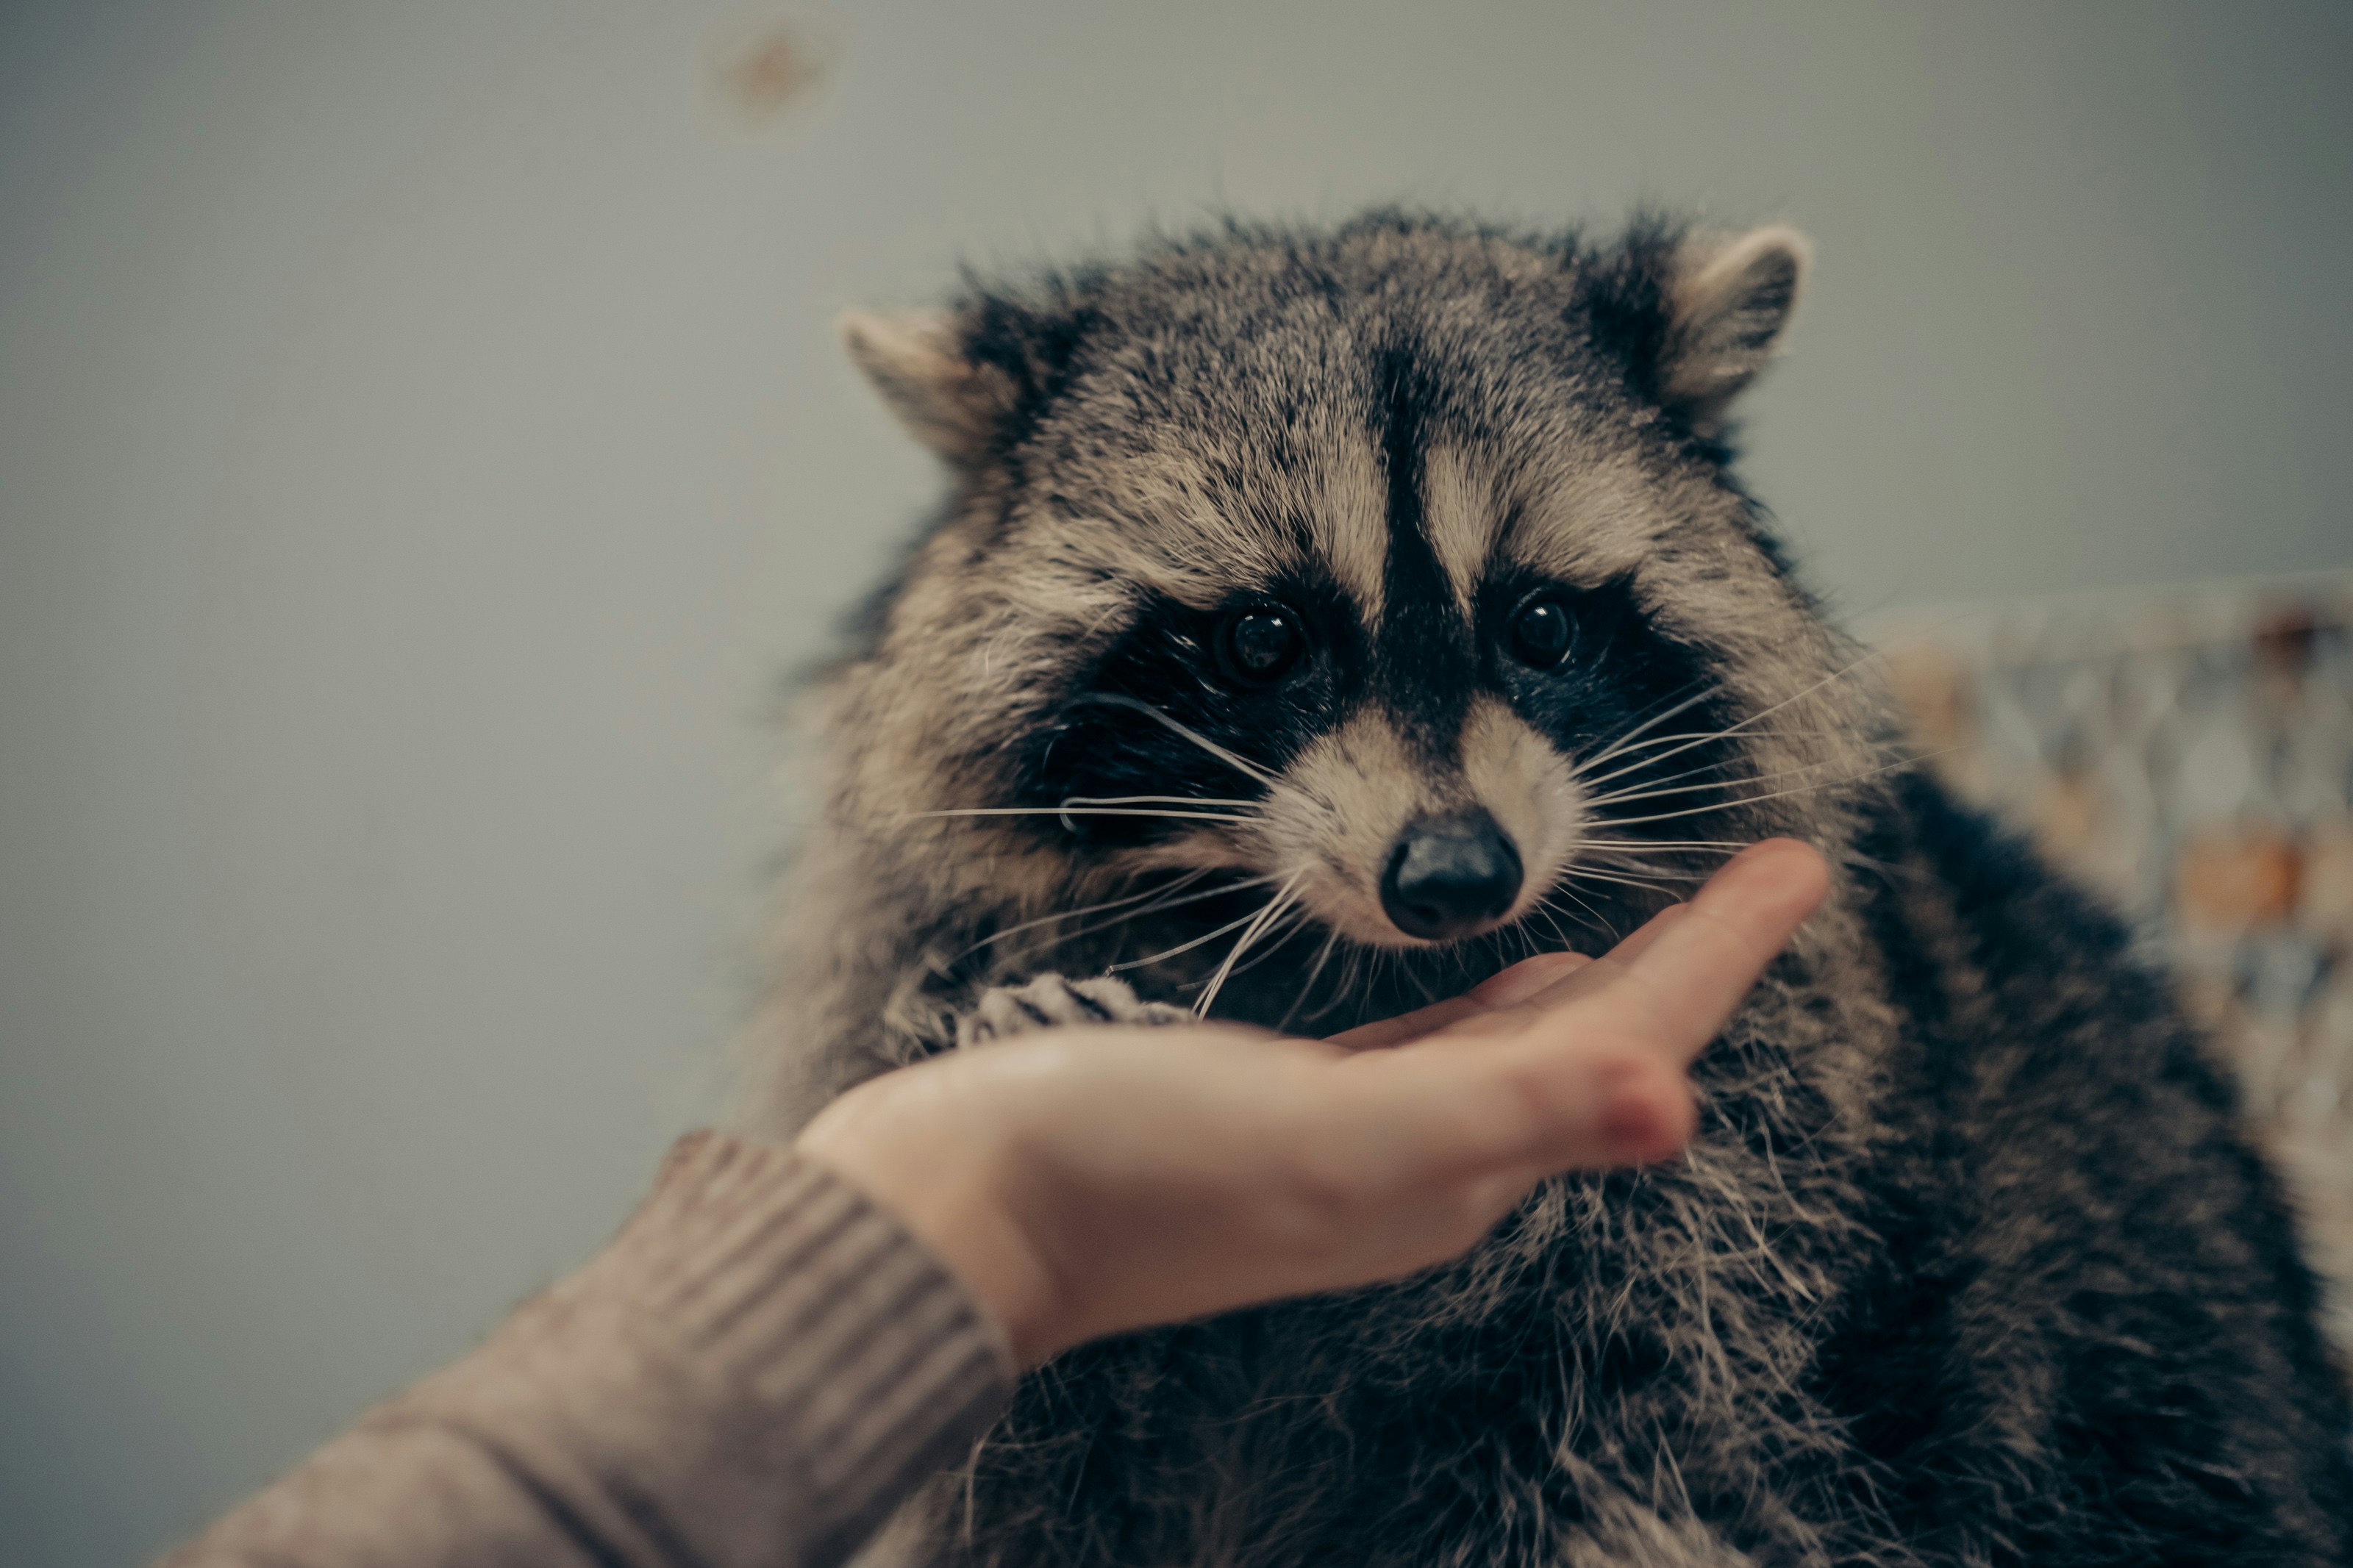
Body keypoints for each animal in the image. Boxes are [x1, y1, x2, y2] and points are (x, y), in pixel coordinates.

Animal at [744, 214, 2353, 1566]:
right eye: (1263, 639)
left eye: (1540, 624)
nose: (1457, 877)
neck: (1350, 953)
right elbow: (1015, 1482)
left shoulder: (1740, 1226)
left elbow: (1636, 1467)